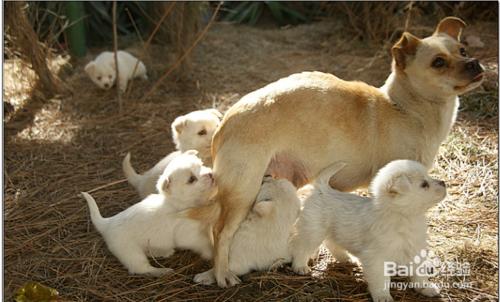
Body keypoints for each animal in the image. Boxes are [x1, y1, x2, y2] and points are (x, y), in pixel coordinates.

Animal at [82, 151, 215, 276]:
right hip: (132, 253)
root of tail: (107, 223)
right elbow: (202, 243)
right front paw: (210, 254)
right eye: (191, 179)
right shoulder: (187, 235)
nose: (211, 174)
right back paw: (161, 271)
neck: (179, 203)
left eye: (202, 165)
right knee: (142, 268)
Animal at [292, 159, 448, 300]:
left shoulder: (414, 249)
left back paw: (347, 259)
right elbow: (381, 280)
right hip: (313, 232)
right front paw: (383, 296)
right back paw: (300, 267)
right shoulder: (376, 258)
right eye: (424, 185)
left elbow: (419, 274)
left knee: (332, 244)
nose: (443, 182)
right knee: (303, 248)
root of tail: (323, 189)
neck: (403, 216)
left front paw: (426, 288)